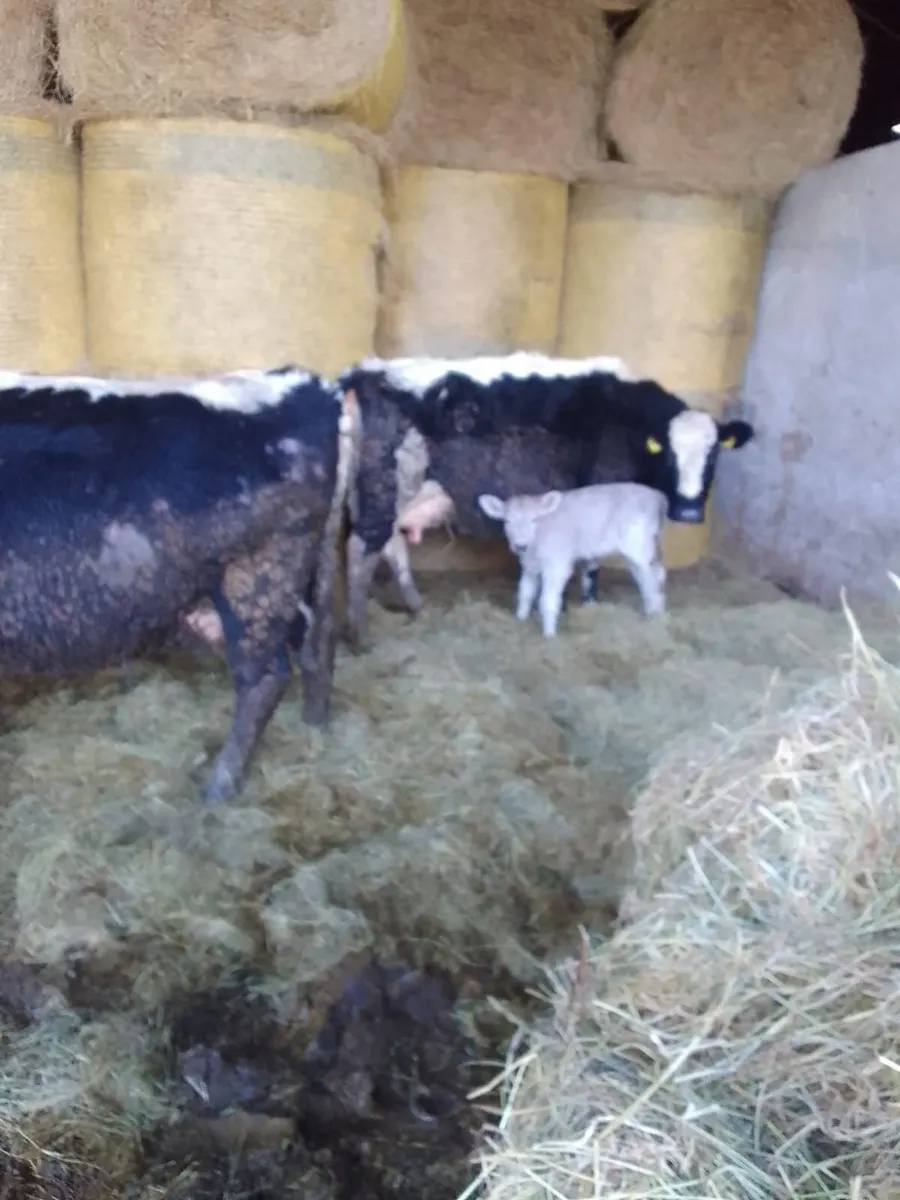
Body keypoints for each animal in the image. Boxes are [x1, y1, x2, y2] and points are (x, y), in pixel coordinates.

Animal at [0, 365, 360, 804]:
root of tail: (303, 381)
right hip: (304, 570)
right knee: (318, 637)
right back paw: (314, 729)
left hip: (257, 576)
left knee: (264, 677)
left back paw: (219, 787)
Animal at [477, 483, 668, 637]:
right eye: (507, 521)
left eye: (535, 519)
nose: (520, 546)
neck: (536, 540)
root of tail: (657, 496)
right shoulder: (529, 567)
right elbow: (525, 594)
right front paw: (520, 619)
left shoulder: (557, 565)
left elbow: (547, 600)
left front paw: (549, 635)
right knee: (648, 576)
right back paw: (651, 610)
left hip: (639, 546)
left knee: (652, 578)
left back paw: (655, 615)